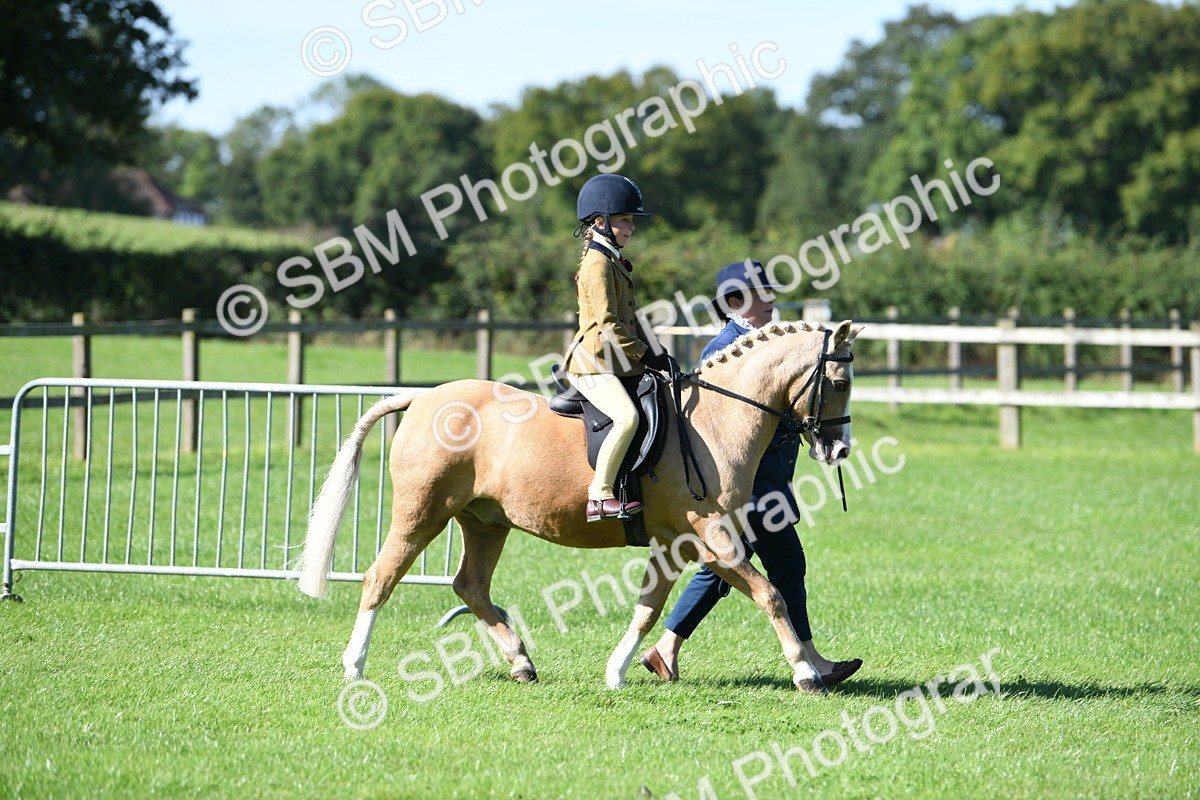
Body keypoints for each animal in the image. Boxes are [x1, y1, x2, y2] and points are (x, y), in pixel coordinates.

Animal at [297, 319, 861, 693]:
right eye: (838, 383)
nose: (839, 450)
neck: (716, 420)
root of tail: (420, 399)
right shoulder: (713, 538)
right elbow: (772, 595)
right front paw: (806, 672)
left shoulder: (673, 544)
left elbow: (648, 609)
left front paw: (616, 671)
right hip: (422, 514)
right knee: (381, 577)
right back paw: (354, 665)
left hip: (485, 522)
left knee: (471, 587)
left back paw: (521, 663)